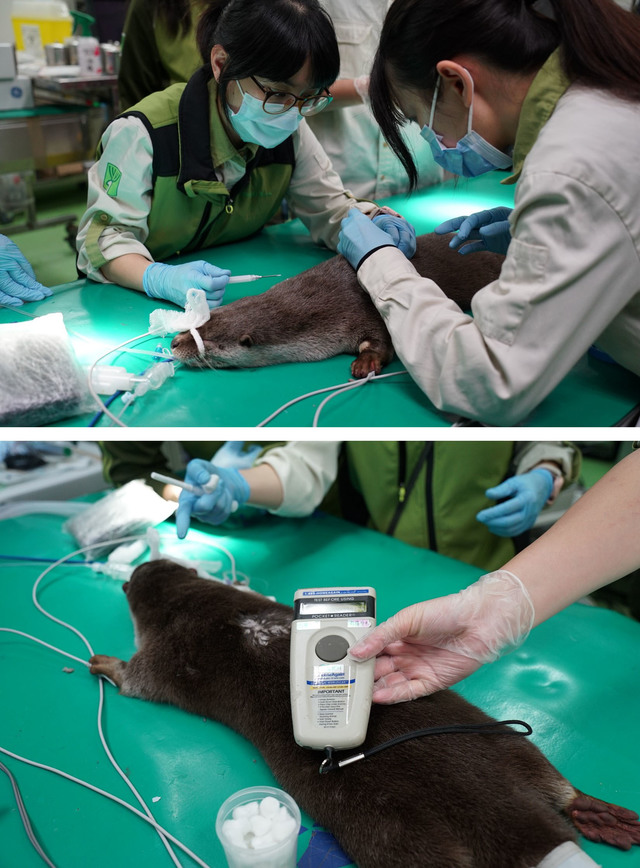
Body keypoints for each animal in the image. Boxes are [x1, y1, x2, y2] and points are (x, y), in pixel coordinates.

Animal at [89, 560, 640, 868]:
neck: (188, 601)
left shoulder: (166, 652)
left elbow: (137, 681)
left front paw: (104, 664)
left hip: (397, 838)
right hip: (511, 743)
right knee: (555, 784)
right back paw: (602, 816)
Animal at [170, 232, 504, 378]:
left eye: (207, 341)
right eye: (202, 320)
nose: (174, 343)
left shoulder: (362, 309)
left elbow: (383, 340)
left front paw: (364, 363)